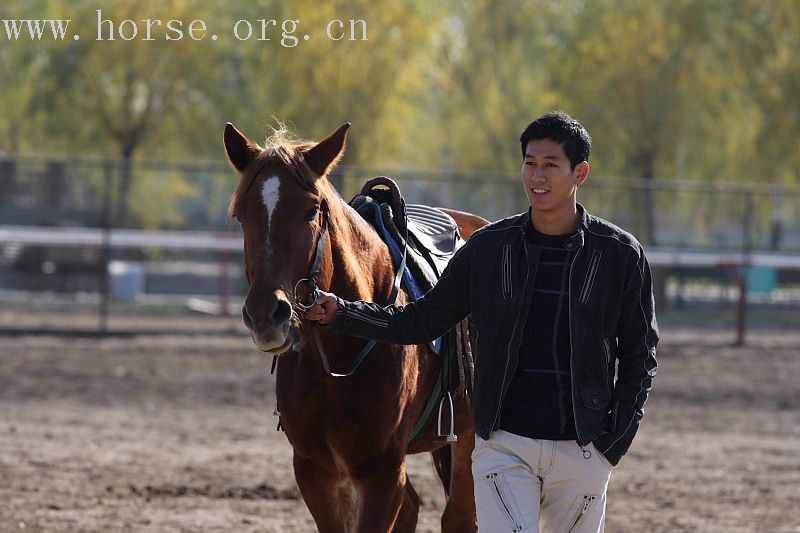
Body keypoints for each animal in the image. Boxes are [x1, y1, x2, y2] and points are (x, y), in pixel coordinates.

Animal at [225, 121, 488, 532]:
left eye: (311, 211)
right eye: (242, 215)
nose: (266, 315)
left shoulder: (381, 472)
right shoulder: (316, 471)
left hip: (468, 437)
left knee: (459, 517)